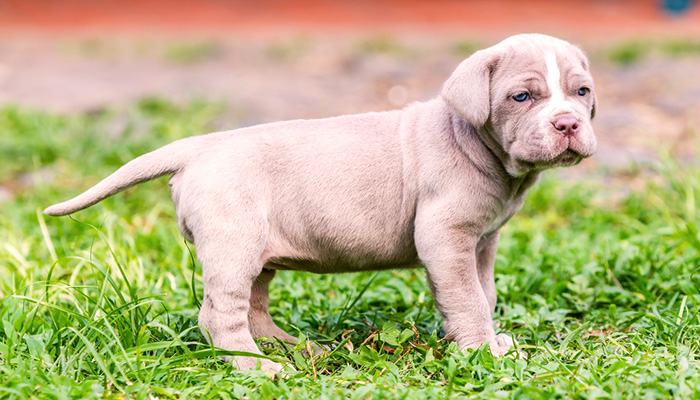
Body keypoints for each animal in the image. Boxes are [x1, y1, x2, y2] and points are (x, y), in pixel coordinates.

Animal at [46, 32, 600, 370]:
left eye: (582, 92)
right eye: (521, 97)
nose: (568, 124)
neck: (475, 144)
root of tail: (198, 146)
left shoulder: (482, 242)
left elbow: (483, 292)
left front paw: (489, 339)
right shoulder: (446, 237)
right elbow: (467, 298)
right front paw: (483, 350)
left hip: (255, 251)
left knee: (253, 306)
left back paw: (289, 348)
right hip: (232, 241)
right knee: (219, 314)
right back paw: (254, 368)